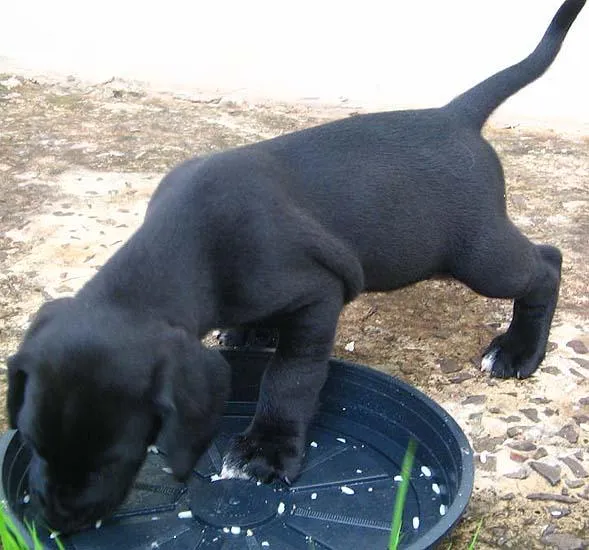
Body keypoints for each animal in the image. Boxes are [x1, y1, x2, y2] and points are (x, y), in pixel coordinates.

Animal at [5, 0, 584, 536]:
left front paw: (267, 448)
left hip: (476, 256)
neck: (183, 247)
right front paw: (247, 333)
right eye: (31, 441)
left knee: (546, 265)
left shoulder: (316, 297)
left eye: (114, 455)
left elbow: (291, 376)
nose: (54, 518)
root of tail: (454, 115)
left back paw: (519, 350)